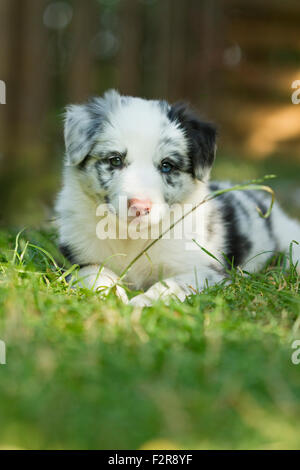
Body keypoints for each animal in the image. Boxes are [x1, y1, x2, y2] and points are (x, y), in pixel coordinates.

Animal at [55, 89, 300, 306]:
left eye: (167, 166)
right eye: (115, 160)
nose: (140, 207)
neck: (132, 237)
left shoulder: (205, 270)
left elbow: (171, 285)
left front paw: (143, 303)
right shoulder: (78, 261)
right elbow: (95, 273)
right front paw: (111, 296)